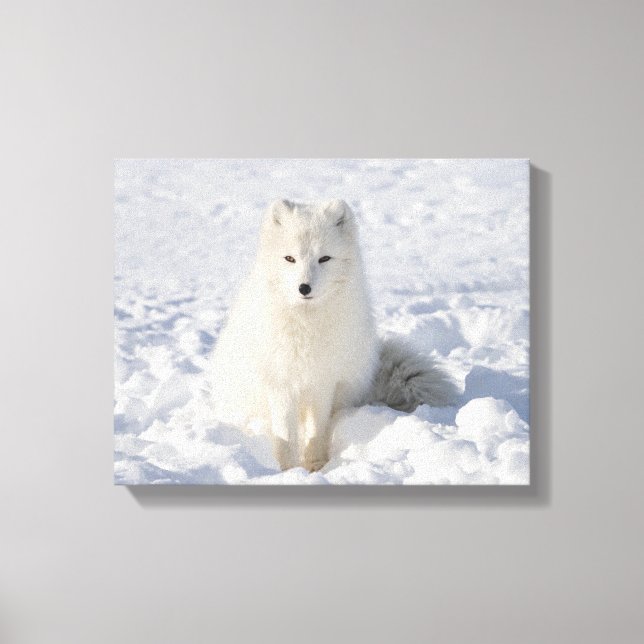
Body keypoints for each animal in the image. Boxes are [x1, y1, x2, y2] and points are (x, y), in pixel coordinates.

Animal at [208, 199, 457, 472]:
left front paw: (315, 466)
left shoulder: (323, 381)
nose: (304, 288)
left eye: (324, 258)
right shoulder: (280, 382)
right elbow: (285, 434)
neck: (306, 326)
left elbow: (316, 429)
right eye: (290, 258)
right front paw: (288, 470)